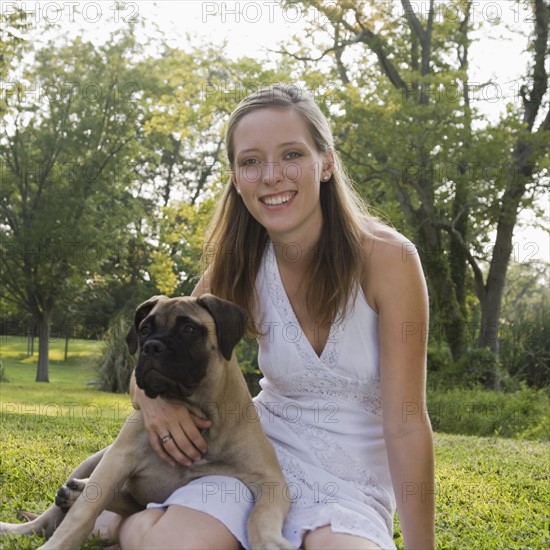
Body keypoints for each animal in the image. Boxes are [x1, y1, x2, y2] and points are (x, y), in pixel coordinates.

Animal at [1, 296, 298, 548]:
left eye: (189, 329)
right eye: (144, 329)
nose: (152, 346)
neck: (194, 408)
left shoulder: (270, 480)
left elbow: (260, 516)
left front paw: (270, 543)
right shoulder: (117, 459)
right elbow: (82, 514)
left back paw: (76, 491)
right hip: (95, 458)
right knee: (51, 518)